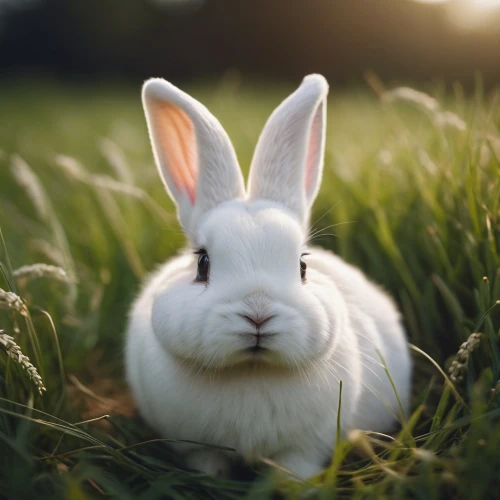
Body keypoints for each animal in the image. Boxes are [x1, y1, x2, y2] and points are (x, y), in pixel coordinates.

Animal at [127, 73, 412, 476]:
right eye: (202, 264)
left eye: (302, 266)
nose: (258, 315)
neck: (252, 370)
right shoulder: (196, 447)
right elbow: (206, 463)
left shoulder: (303, 448)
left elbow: (296, 468)